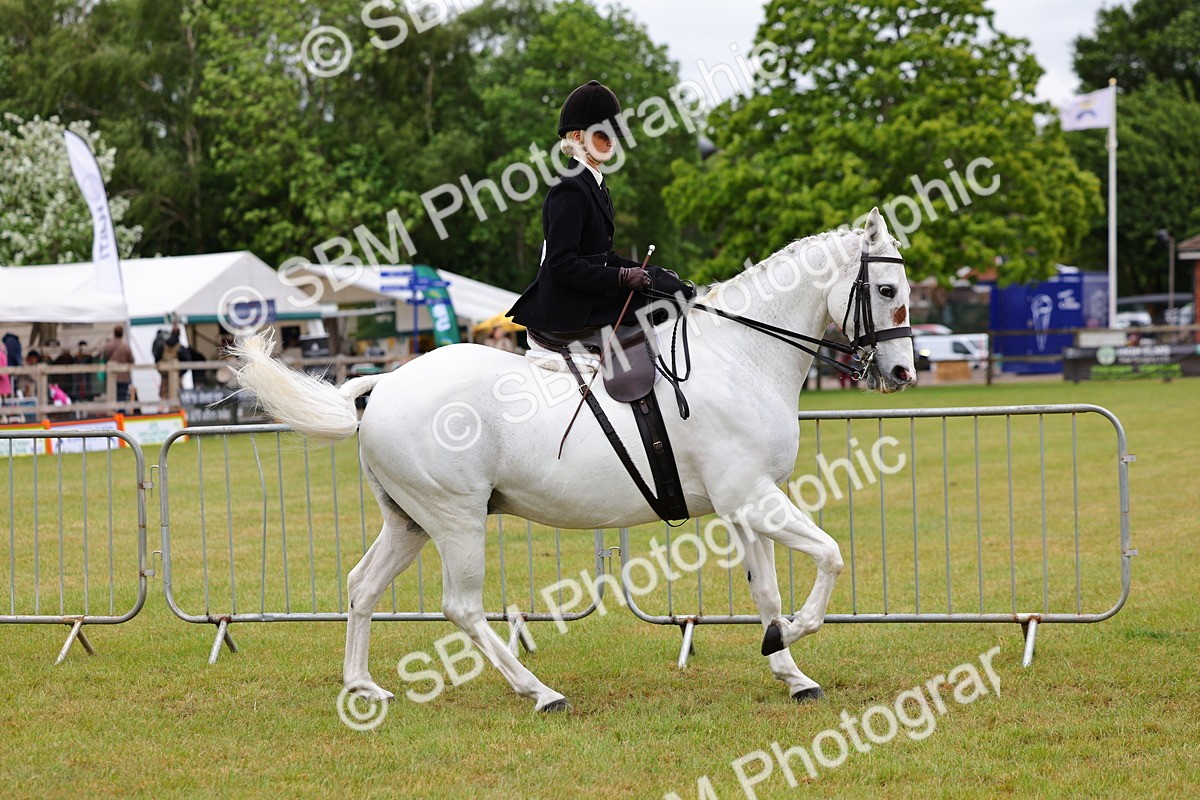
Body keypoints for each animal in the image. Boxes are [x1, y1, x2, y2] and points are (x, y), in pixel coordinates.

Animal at [232, 207, 916, 711]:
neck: (741, 357)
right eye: (887, 290)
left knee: (362, 586)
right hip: (455, 519)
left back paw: (362, 686)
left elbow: (768, 592)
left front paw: (791, 672)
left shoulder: (746, 504)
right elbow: (829, 555)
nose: (904, 374)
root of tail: (383, 386)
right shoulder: (751, 496)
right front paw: (790, 636)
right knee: (462, 607)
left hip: (409, 521)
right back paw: (539, 692)